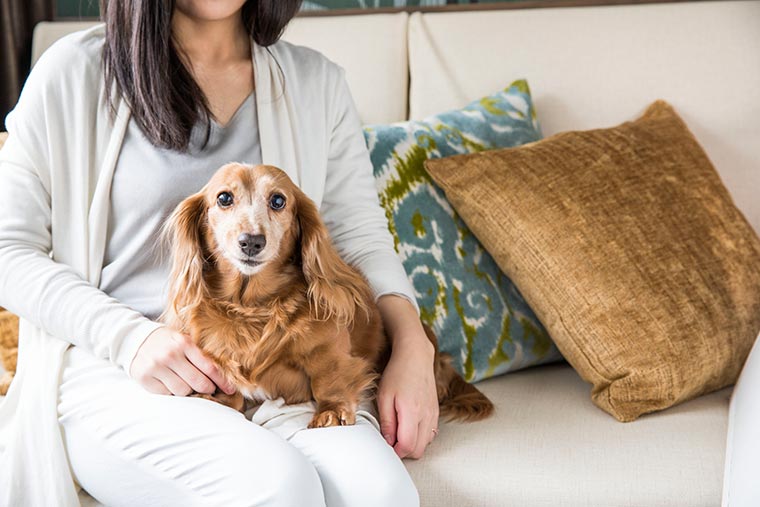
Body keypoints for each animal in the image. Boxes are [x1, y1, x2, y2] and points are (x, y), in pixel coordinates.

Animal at [160, 164, 492, 428]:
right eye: (224, 198)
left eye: (278, 200)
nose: (252, 242)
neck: (254, 307)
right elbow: (231, 386)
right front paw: (219, 398)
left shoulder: (328, 353)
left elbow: (328, 379)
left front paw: (331, 411)